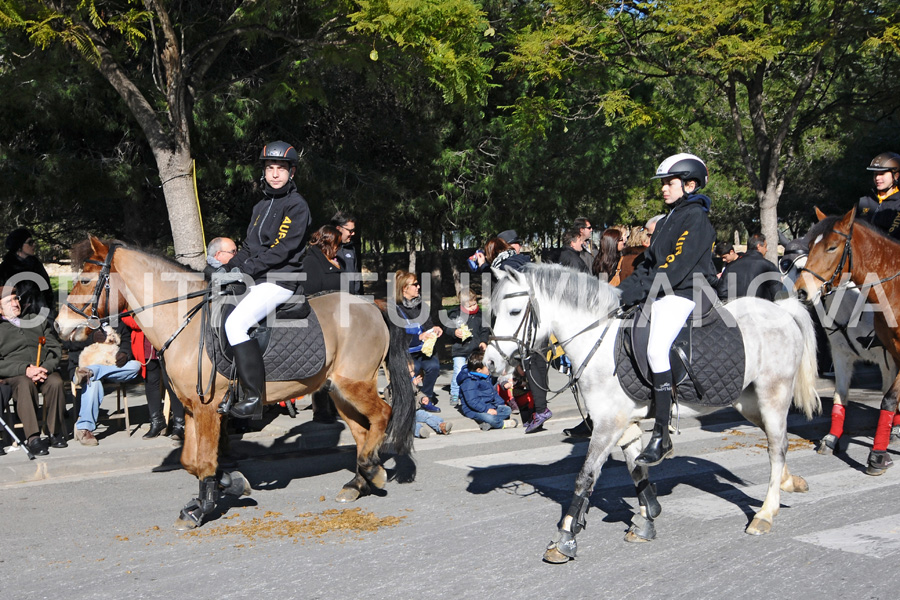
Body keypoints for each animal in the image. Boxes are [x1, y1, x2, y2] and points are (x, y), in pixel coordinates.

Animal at [58, 237, 416, 528]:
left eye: (86, 279)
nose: (61, 325)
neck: (184, 320)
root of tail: (371, 305)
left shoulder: (208, 408)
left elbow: (203, 461)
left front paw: (202, 508)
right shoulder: (191, 409)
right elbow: (192, 461)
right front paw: (228, 484)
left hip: (355, 385)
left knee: (383, 415)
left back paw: (370, 469)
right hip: (340, 391)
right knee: (362, 431)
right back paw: (359, 482)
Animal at [486, 264, 824, 564]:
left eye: (514, 312)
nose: (490, 362)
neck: (598, 341)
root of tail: (782, 310)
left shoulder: (608, 425)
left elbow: (585, 477)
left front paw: (565, 539)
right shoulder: (624, 424)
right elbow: (637, 470)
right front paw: (647, 520)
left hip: (773, 395)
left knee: (777, 447)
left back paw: (765, 513)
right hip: (748, 402)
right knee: (775, 441)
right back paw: (790, 482)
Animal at [796, 209, 900, 476]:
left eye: (832, 247)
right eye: (810, 246)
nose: (801, 292)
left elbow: (888, 398)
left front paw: (877, 455)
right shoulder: (843, 354)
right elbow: (841, 395)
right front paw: (832, 439)